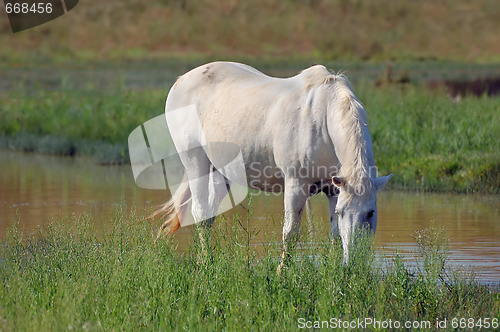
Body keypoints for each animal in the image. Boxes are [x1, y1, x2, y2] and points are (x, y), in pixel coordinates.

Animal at [154, 61, 392, 264]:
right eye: (343, 212)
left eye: (371, 212)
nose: (354, 262)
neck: (323, 119)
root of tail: (181, 81)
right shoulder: (296, 185)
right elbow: (290, 233)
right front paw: (282, 274)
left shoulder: (334, 189)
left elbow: (335, 235)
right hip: (196, 164)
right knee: (201, 213)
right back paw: (206, 265)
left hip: (222, 172)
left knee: (208, 216)